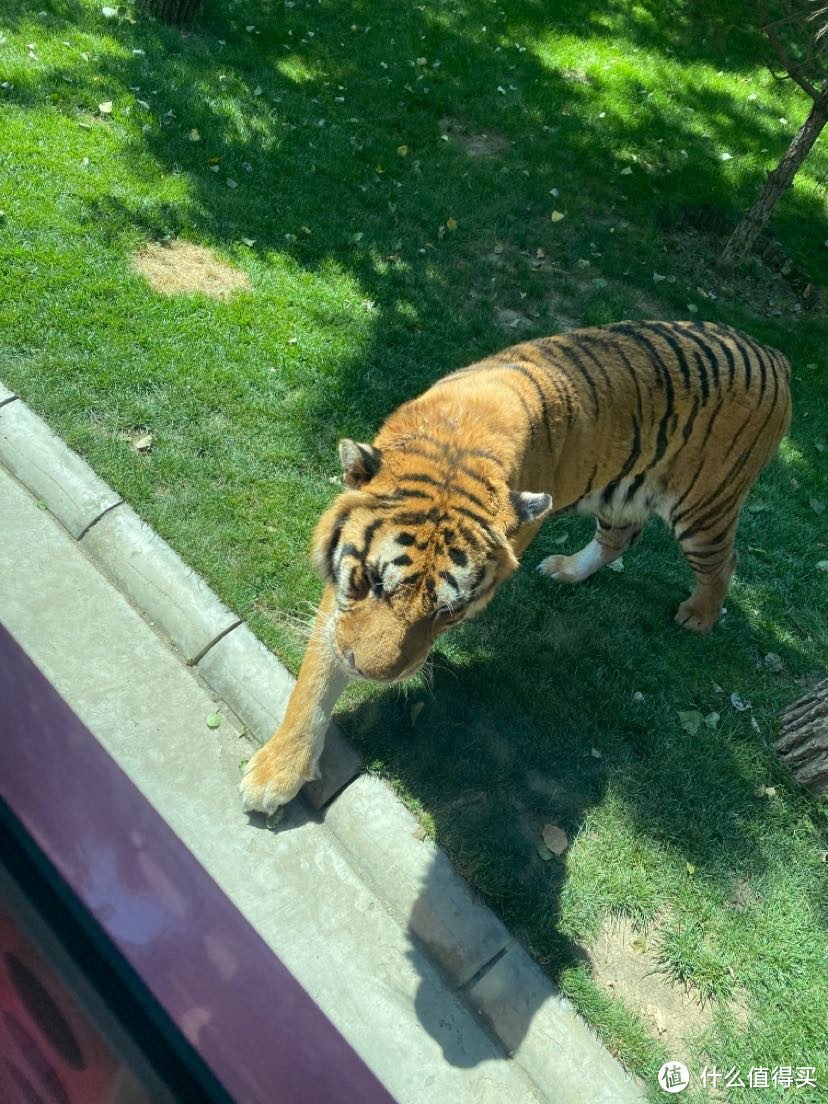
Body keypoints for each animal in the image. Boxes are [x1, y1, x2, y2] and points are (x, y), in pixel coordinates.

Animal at [238, 320, 790, 812]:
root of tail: (773, 354)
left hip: (703, 507)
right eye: (374, 580)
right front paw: (277, 773)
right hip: (620, 494)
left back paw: (699, 615)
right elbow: (315, 678)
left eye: (448, 612)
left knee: (725, 559)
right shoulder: (343, 600)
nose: (371, 675)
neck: (457, 446)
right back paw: (567, 569)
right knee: (621, 536)